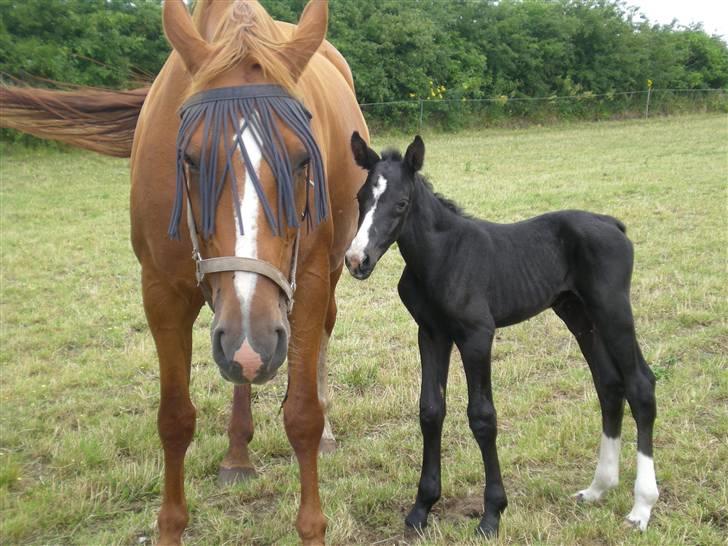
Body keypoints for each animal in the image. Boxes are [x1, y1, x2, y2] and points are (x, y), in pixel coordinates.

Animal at [1, 2, 370, 540]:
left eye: (303, 159)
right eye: (190, 159)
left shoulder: (307, 284)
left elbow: (302, 417)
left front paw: (313, 529)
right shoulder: (161, 294)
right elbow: (174, 419)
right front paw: (170, 529)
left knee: (318, 337)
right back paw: (237, 454)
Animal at [344, 133, 656, 536]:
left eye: (400, 203)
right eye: (360, 198)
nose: (357, 260)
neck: (442, 256)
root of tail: (613, 224)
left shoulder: (477, 335)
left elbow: (482, 417)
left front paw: (492, 513)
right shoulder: (431, 333)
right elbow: (430, 410)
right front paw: (421, 509)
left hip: (612, 310)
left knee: (640, 385)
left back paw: (641, 507)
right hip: (578, 314)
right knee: (609, 385)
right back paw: (598, 487)